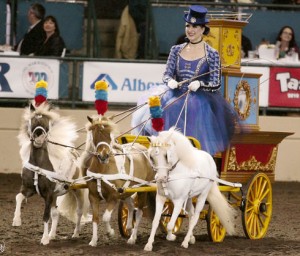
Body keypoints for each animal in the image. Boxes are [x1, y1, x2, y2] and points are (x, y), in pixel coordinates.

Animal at [12, 101, 89, 244]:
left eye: (47, 123)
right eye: (32, 120)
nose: (39, 138)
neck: (39, 166)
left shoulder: (48, 194)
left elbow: (46, 216)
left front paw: (44, 239)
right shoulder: (28, 189)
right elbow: (18, 197)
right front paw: (16, 220)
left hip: (78, 191)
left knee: (79, 212)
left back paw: (75, 234)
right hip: (55, 195)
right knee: (56, 213)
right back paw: (53, 235)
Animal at [82, 116, 155, 246]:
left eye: (109, 134)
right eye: (96, 133)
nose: (104, 156)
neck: (103, 169)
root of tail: (144, 150)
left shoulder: (114, 196)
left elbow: (106, 217)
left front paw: (110, 232)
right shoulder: (93, 196)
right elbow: (95, 218)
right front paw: (93, 241)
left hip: (143, 189)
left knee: (139, 212)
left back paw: (132, 238)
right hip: (127, 190)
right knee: (131, 206)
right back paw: (129, 227)